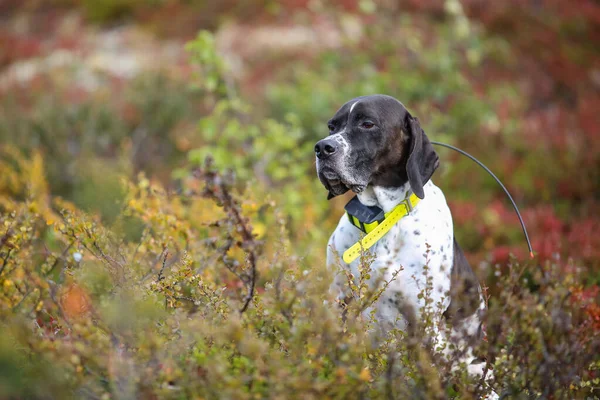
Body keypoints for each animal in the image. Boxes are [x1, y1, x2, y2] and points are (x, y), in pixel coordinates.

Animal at [316, 94, 490, 388]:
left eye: (367, 123)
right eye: (332, 126)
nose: (321, 148)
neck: (382, 219)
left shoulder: (422, 318)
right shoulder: (338, 299)